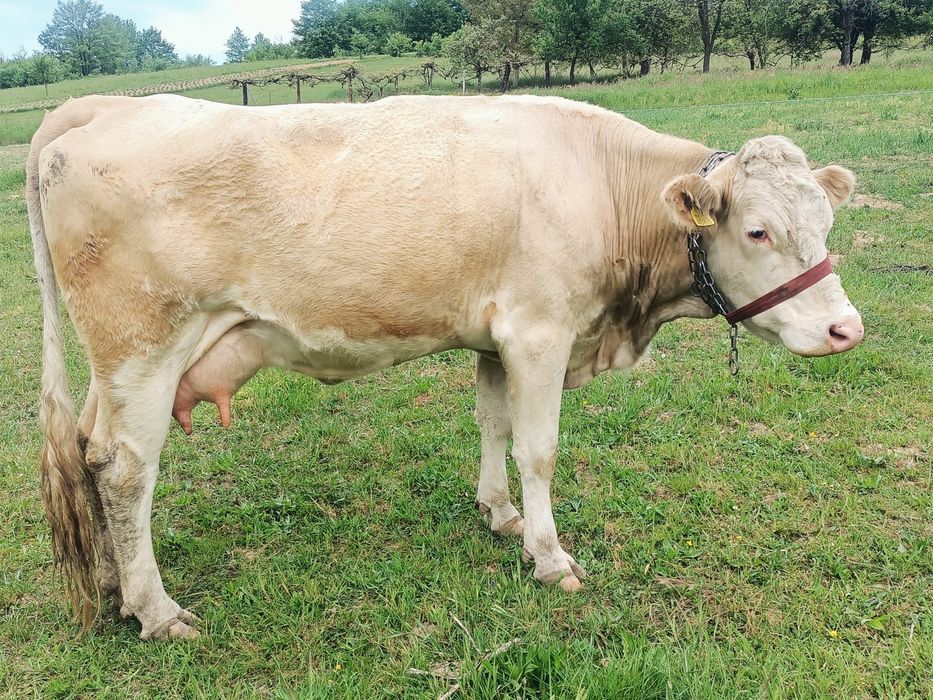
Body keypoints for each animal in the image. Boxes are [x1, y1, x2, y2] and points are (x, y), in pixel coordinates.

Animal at [27, 94, 863, 640]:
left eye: (824, 222)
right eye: (756, 230)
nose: (844, 328)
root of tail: (103, 104)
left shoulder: (495, 335)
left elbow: (492, 425)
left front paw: (499, 514)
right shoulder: (537, 330)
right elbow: (538, 448)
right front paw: (548, 556)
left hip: (117, 366)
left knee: (88, 452)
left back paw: (113, 584)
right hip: (143, 345)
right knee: (125, 470)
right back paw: (157, 611)